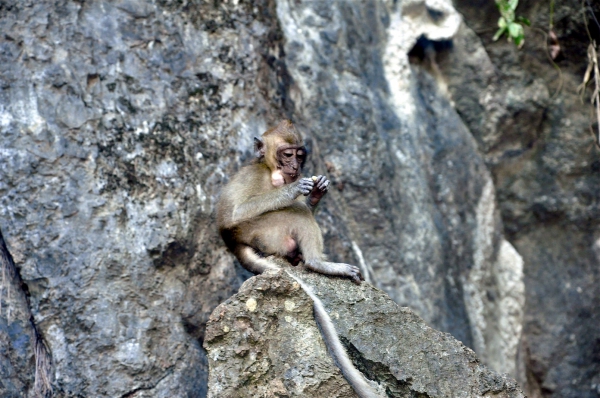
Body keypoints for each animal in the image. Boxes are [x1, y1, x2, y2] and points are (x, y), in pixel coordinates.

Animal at [218, 119, 382, 398]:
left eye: (299, 154)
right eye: (287, 154)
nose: (295, 167)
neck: (270, 170)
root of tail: (236, 245)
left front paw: (317, 192)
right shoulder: (252, 178)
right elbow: (236, 212)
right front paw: (293, 190)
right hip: (265, 231)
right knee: (296, 212)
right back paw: (319, 263)